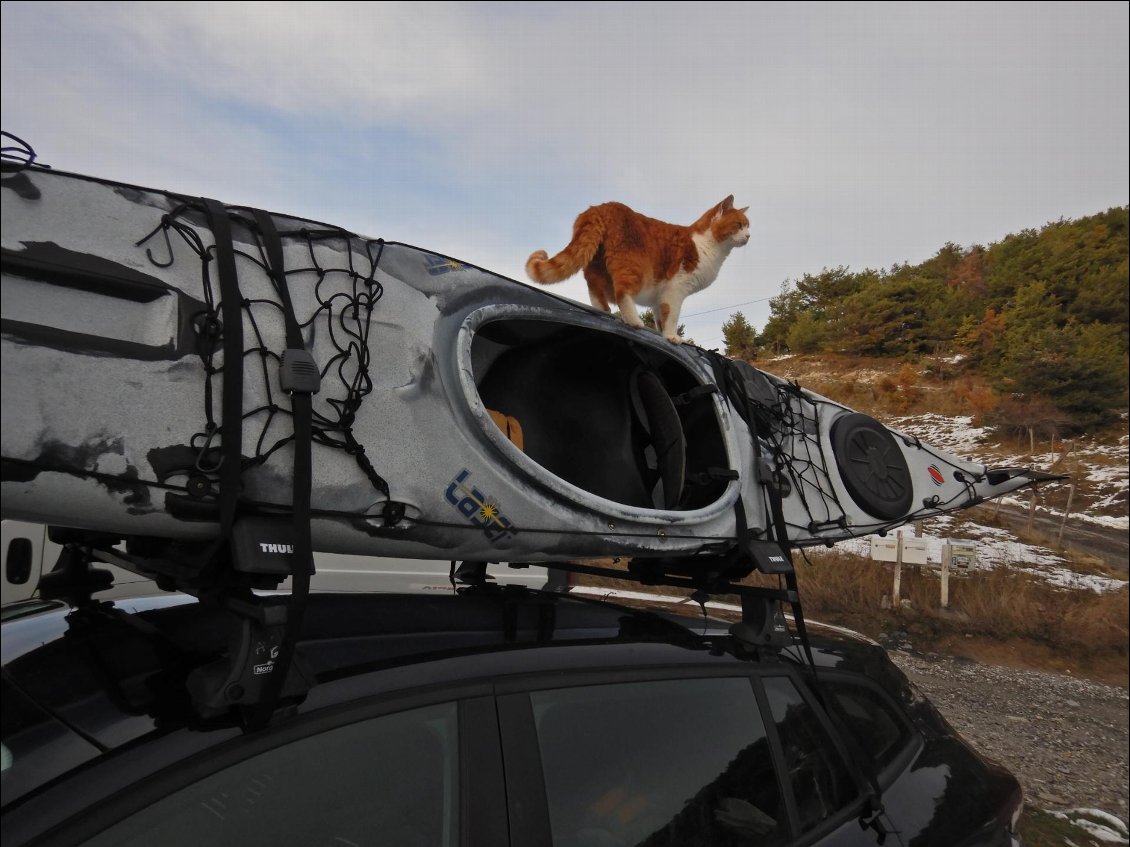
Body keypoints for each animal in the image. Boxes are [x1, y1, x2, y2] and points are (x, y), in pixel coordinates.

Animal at [526, 197, 750, 343]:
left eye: (748, 226)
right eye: (739, 225)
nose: (749, 236)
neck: (706, 245)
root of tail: (602, 207)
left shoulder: (661, 297)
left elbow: (661, 317)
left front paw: (662, 333)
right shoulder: (675, 290)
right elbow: (672, 316)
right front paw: (672, 337)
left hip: (596, 262)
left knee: (594, 285)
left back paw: (603, 311)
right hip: (633, 267)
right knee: (622, 292)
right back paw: (634, 321)